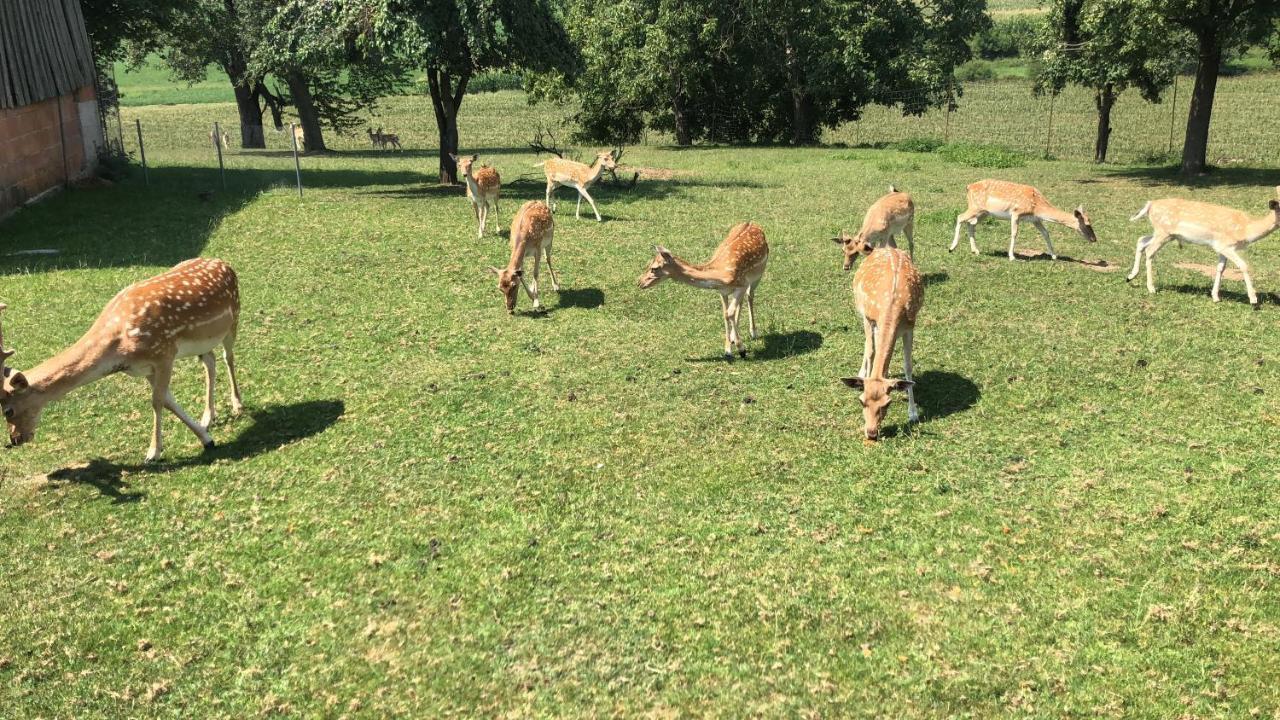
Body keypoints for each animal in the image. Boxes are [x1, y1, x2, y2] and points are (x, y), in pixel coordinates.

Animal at [0, 258, 243, 458]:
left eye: (8, 410)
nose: (15, 439)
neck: (120, 346)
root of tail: (224, 263)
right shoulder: (145, 368)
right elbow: (168, 401)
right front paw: (206, 438)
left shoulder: (164, 353)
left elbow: (157, 401)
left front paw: (153, 452)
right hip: (202, 343)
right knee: (210, 360)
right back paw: (208, 417)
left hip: (233, 318)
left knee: (228, 356)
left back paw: (237, 405)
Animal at [634, 220, 762, 356]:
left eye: (654, 268)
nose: (639, 282)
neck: (721, 275)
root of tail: (751, 222)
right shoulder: (722, 291)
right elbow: (725, 313)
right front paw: (728, 349)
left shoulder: (742, 284)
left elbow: (730, 312)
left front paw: (741, 349)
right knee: (740, 303)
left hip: (759, 273)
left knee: (750, 295)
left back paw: (753, 332)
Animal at [839, 243, 921, 440]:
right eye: (861, 401)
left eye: (888, 403)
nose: (871, 432)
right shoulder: (869, 319)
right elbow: (870, 352)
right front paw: (865, 377)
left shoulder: (910, 326)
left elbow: (908, 366)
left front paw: (913, 413)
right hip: (863, 313)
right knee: (869, 346)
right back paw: (863, 372)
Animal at [952, 179, 1100, 260]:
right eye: (1087, 224)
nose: (1094, 239)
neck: (1037, 207)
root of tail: (968, 187)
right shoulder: (1016, 213)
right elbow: (1014, 233)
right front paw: (1012, 256)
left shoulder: (1035, 219)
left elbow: (1046, 233)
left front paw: (1054, 256)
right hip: (975, 207)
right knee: (960, 217)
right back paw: (952, 247)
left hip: (984, 213)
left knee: (971, 224)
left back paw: (975, 251)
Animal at [1131, 184, 1280, 304]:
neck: (1246, 229)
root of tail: (1150, 204)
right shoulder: (1225, 245)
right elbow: (1243, 265)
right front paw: (1253, 300)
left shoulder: (1220, 247)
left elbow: (1220, 268)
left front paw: (1215, 297)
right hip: (1163, 232)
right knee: (1149, 251)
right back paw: (1151, 288)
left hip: (1165, 234)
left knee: (1141, 240)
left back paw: (1130, 276)